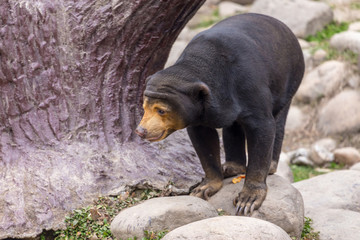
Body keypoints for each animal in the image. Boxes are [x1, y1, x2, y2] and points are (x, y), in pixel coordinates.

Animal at [135, 13, 304, 216]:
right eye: (144, 108)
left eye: (161, 110)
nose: (141, 131)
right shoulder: (199, 114)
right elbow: (204, 141)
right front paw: (204, 188)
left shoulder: (250, 85)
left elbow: (263, 128)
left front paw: (248, 200)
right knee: (234, 126)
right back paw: (231, 167)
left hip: (290, 78)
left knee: (278, 121)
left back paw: (269, 165)